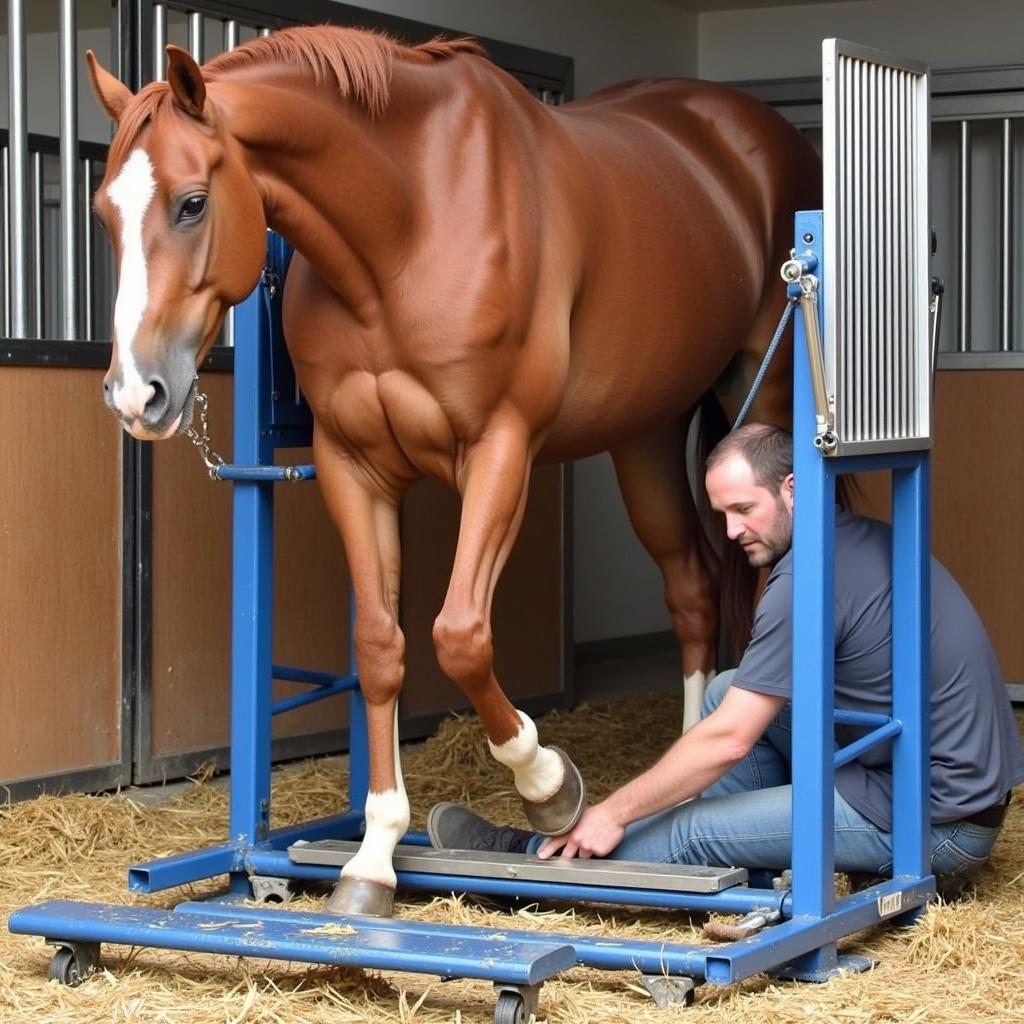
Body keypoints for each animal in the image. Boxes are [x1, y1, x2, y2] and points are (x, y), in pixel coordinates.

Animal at [90, 28, 815, 917]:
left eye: (192, 203)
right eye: (104, 212)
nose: (137, 393)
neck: (409, 225)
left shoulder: (501, 449)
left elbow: (461, 635)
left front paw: (549, 786)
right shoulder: (352, 468)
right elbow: (381, 645)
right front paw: (374, 856)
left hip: (760, 393)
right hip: (645, 434)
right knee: (692, 587)